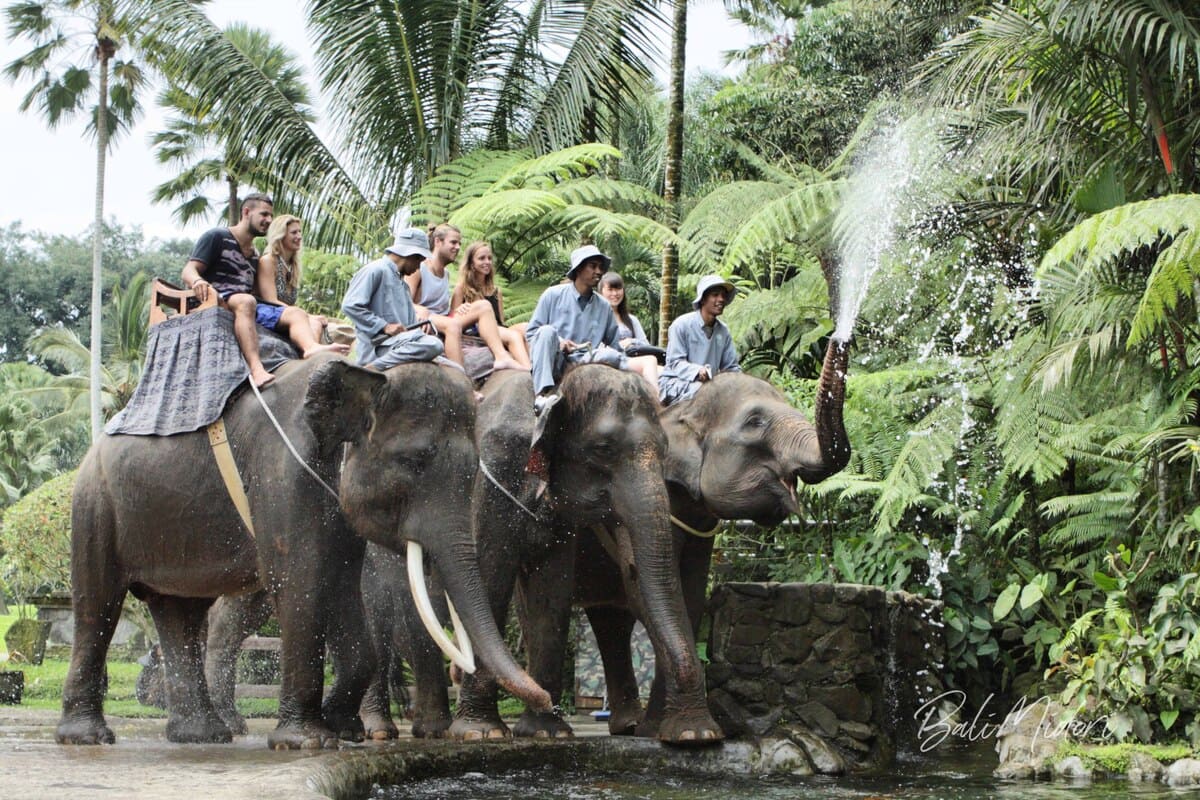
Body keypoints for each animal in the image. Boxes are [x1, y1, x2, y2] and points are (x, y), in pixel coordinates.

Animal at [56, 355, 551, 749]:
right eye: (413, 462)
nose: (548, 698)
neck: (363, 374)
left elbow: (344, 589)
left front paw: (339, 726)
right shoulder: (283, 473)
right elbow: (301, 582)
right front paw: (305, 741)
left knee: (180, 612)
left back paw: (201, 736)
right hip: (94, 506)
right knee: (97, 605)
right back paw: (88, 737)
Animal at [449, 366, 723, 744]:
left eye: (664, 448)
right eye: (604, 448)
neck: (552, 393)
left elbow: (550, 592)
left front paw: (547, 733)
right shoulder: (488, 475)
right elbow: (489, 576)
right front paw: (481, 733)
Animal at [585, 338, 851, 737]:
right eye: (755, 423)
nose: (840, 335)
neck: (682, 410)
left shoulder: (696, 518)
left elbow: (692, 593)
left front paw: (666, 730)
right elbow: (647, 588)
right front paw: (681, 732)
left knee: (608, 618)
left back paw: (628, 725)